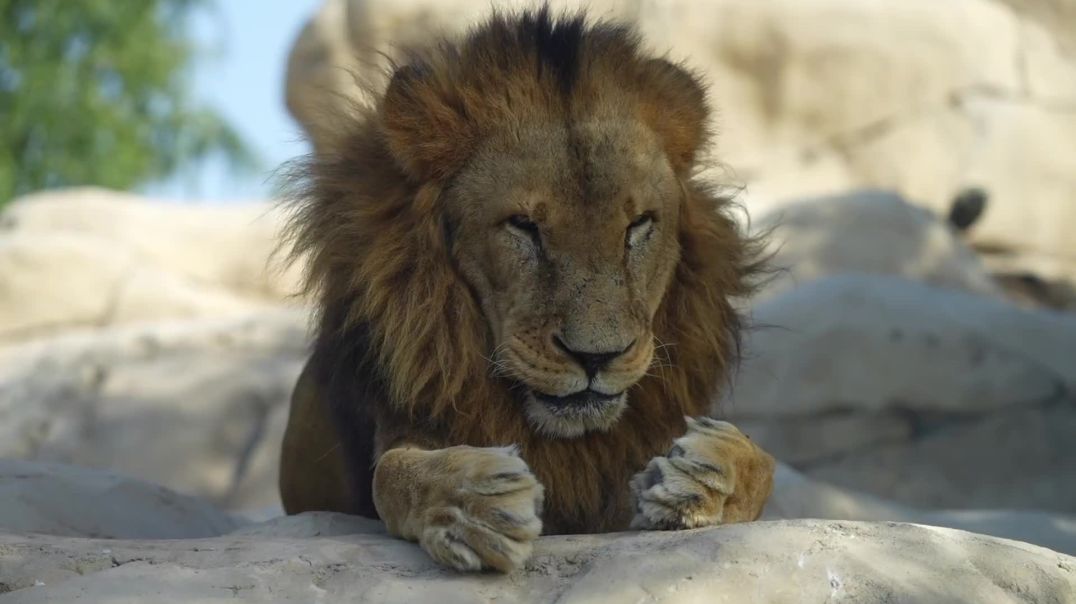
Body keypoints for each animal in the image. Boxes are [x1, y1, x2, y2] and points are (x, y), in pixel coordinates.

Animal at [279, 6, 776, 573]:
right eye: (523, 225)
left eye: (638, 225)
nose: (596, 357)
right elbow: (396, 473)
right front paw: (474, 503)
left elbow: (762, 461)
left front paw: (702, 477)